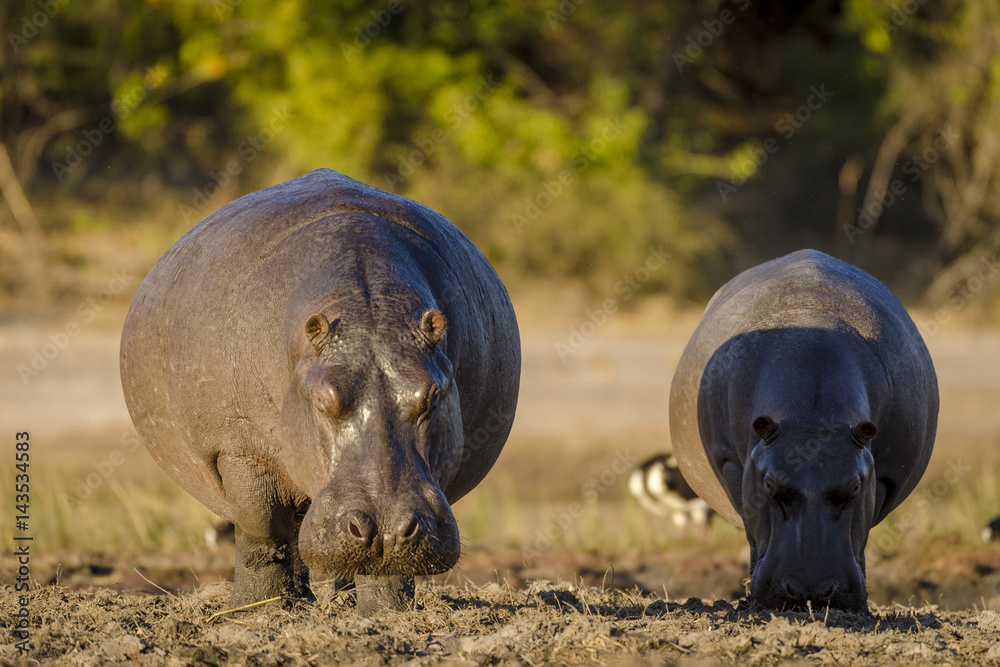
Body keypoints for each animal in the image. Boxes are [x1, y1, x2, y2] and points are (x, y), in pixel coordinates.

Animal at [121, 168, 520, 616]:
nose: (385, 528)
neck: (368, 314)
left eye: (432, 396)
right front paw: (258, 608)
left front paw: (384, 614)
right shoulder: (238, 446)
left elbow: (386, 569)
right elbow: (263, 530)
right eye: (323, 399)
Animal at [672, 248, 936, 612]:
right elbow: (750, 526)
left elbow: (864, 533)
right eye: (771, 485)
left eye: (855, 487)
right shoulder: (731, 464)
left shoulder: (883, 476)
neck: (812, 416)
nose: (810, 590)